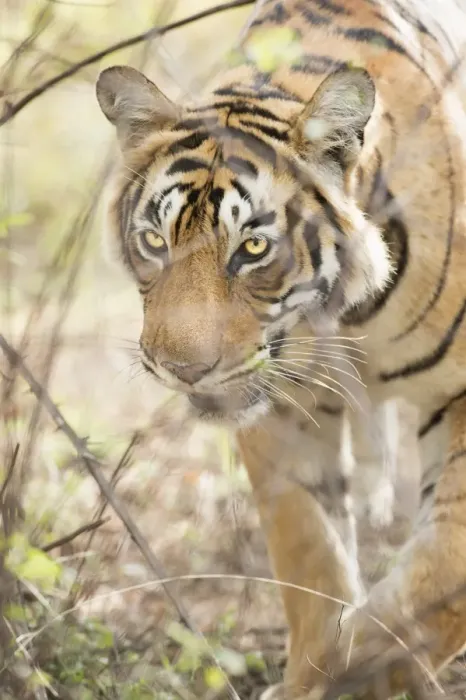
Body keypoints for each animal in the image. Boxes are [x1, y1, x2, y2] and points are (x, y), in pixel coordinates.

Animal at [95, 0, 466, 697]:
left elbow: (443, 566)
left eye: (253, 248)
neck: (343, 316)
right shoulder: (284, 413)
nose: (181, 370)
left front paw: (367, 668)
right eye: (155, 240)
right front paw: (317, 673)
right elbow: (310, 557)